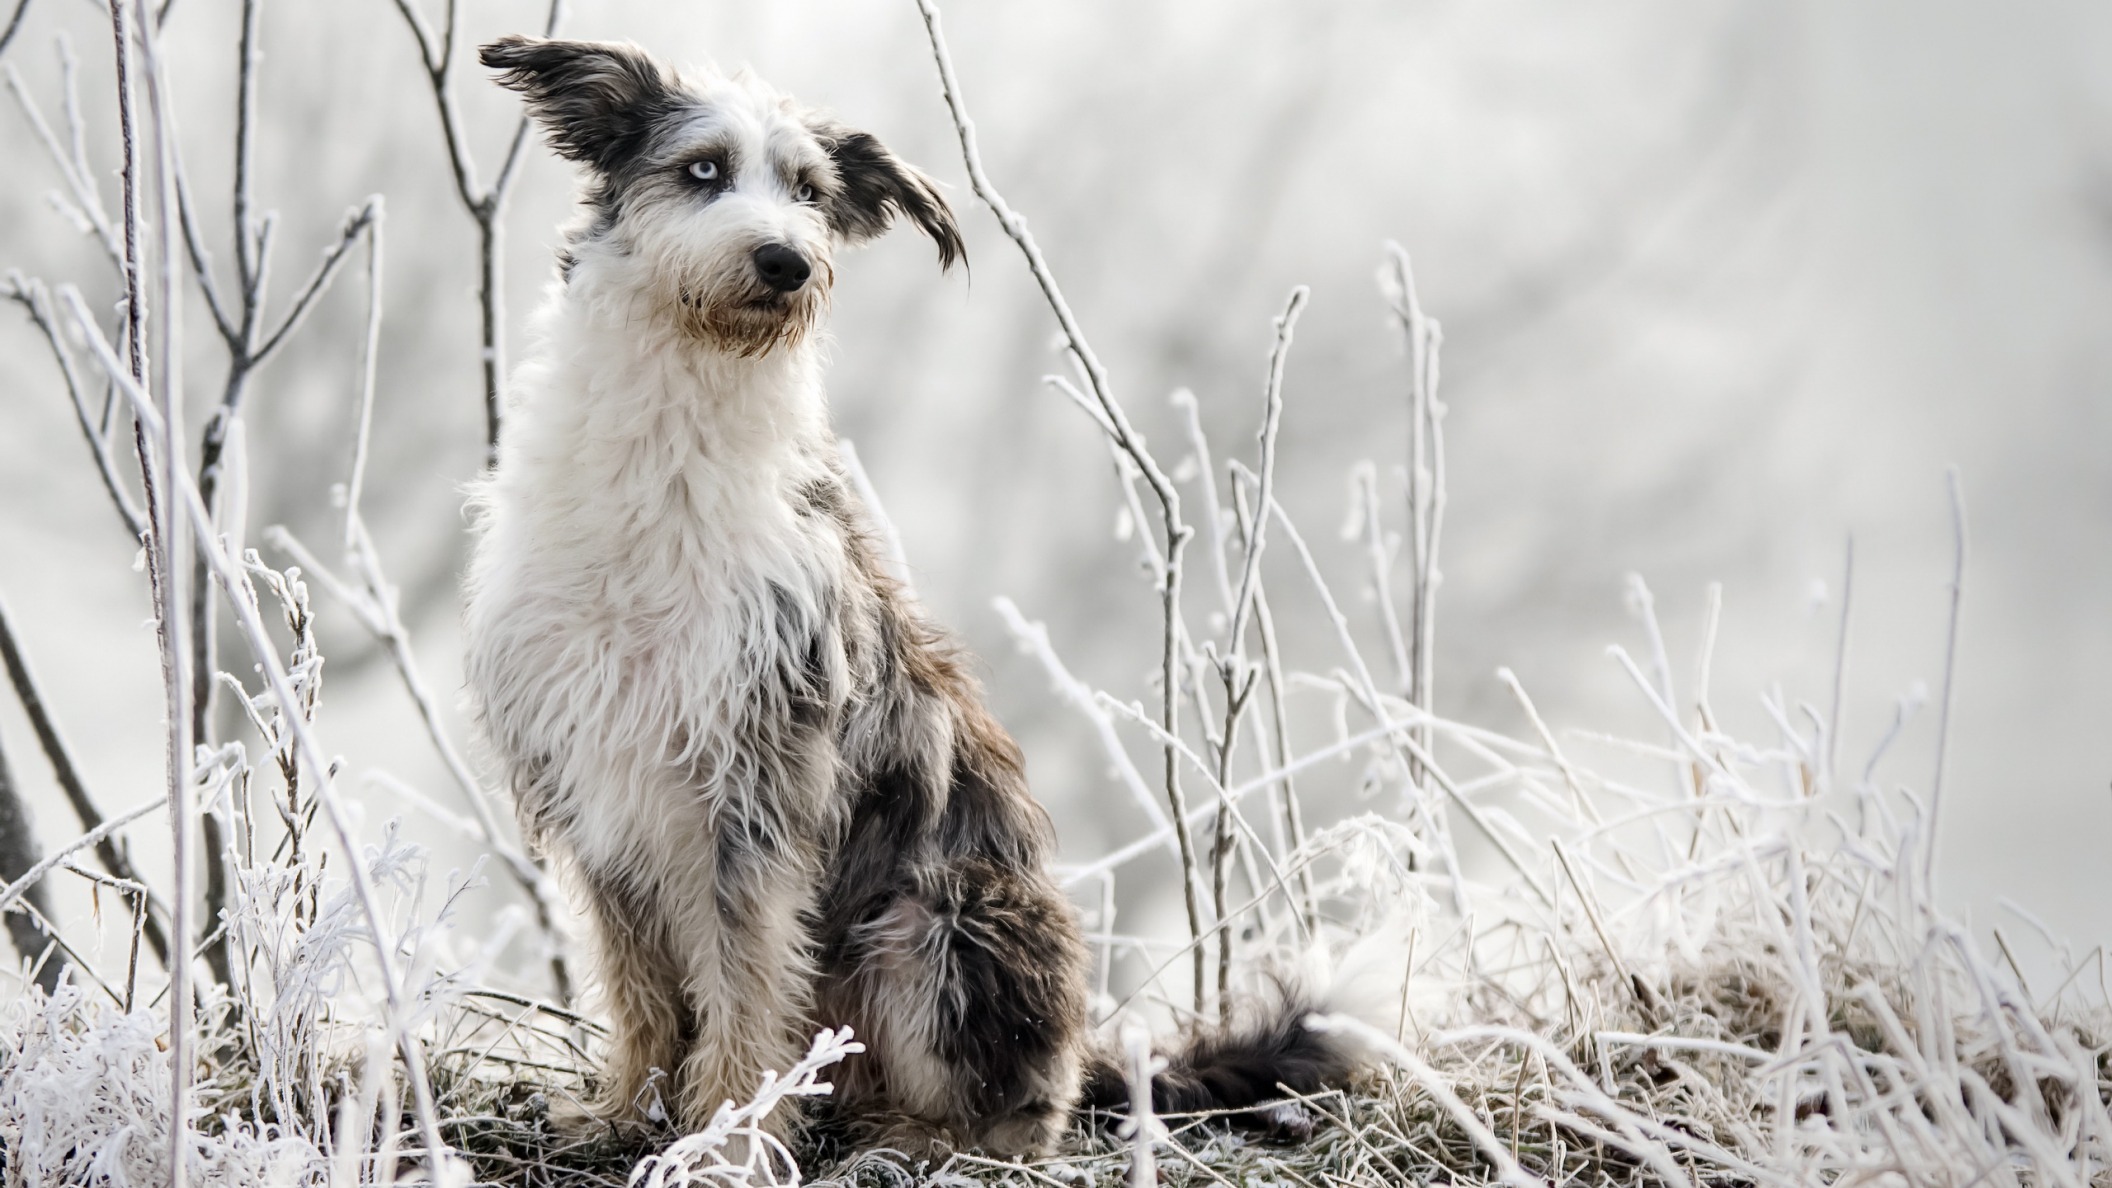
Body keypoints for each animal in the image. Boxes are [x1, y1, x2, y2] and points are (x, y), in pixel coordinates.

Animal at [462, 32, 1360, 1149]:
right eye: (703, 168)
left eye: (810, 192)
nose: (787, 262)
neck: (669, 456)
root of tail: (1085, 1053)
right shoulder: (598, 785)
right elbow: (641, 988)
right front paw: (631, 1111)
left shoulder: (759, 783)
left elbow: (746, 982)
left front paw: (726, 1143)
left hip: (938, 919)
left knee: (1014, 1114)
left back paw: (912, 1140)